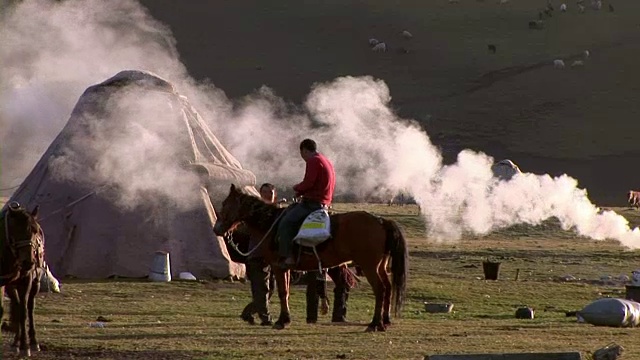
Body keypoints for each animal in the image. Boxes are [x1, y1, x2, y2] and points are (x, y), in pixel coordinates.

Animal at [0, 202, 45, 358]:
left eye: (35, 231)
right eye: (16, 230)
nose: (28, 263)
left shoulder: (26, 281)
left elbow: (24, 312)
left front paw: (26, 346)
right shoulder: (2, 282)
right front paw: (19, 344)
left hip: (36, 283)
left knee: (29, 307)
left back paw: (33, 342)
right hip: (11, 285)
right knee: (18, 305)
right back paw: (16, 343)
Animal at [212, 186, 408, 332]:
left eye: (225, 203)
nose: (216, 229)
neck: (271, 223)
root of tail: (381, 221)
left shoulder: (278, 266)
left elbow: (282, 292)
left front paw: (282, 320)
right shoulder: (285, 268)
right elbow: (285, 292)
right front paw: (284, 319)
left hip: (369, 266)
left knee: (380, 289)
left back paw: (374, 324)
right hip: (379, 266)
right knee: (388, 288)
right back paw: (385, 321)